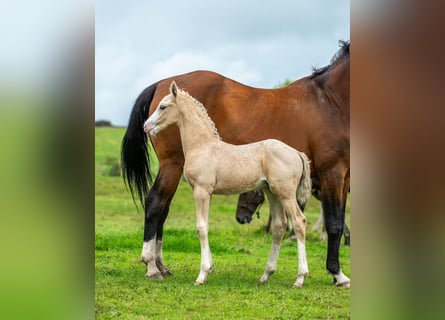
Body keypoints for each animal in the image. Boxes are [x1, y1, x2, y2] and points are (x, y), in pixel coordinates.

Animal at [144, 81, 310, 286]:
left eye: (163, 106)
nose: (146, 126)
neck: (202, 146)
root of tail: (297, 153)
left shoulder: (202, 191)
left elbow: (201, 227)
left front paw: (202, 274)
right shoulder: (206, 193)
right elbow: (205, 226)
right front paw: (209, 269)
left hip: (285, 194)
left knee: (299, 222)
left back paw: (300, 278)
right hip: (272, 193)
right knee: (279, 226)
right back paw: (266, 275)